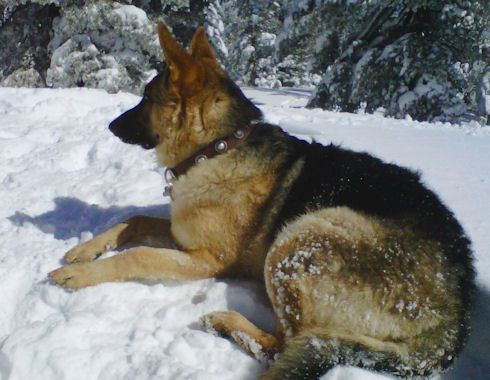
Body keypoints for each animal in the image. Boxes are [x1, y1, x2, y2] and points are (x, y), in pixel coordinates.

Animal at [47, 23, 472, 380]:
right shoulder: (182, 233)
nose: (110, 126)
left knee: (284, 345)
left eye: (146, 98)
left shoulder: (206, 259)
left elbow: (138, 255)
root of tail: (455, 320)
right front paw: (85, 250)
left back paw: (226, 322)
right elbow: (133, 220)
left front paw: (80, 275)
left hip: (301, 237)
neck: (216, 148)